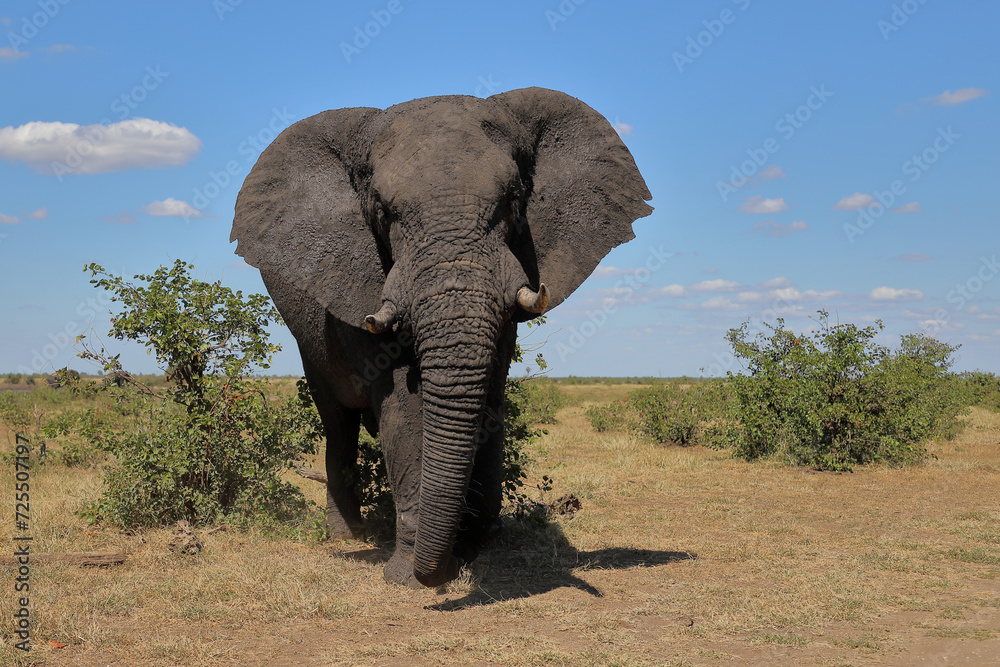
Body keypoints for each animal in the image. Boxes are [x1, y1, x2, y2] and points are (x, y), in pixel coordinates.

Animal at [230, 87, 652, 587]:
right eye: (383, 212)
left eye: (514, 200)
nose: (446, 564)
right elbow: (403, 405)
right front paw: (411, 575)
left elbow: (486, 396)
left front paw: (470, 551)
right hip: (309, 345)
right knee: (337, 423)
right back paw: (347, 536)